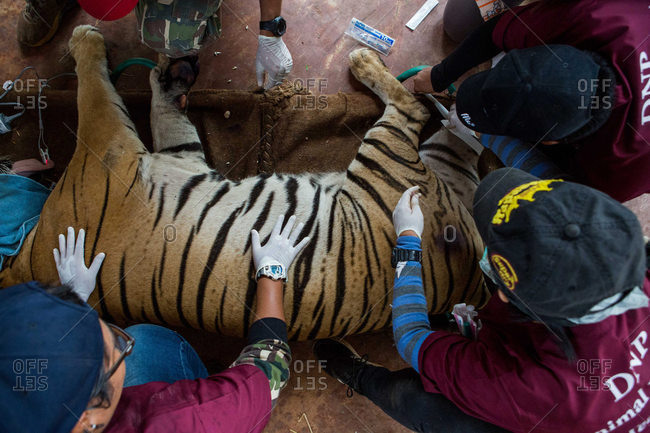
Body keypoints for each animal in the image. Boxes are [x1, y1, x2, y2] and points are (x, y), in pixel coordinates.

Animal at [0, 25, 487, 340]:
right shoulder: (116, 146)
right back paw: (367, 60)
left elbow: (133, 102)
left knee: (434, 114)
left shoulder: (147, 150)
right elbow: (99, 91)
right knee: (421, 111)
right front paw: (91, 42)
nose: (185, 62)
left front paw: (154, 68)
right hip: (396, 159)